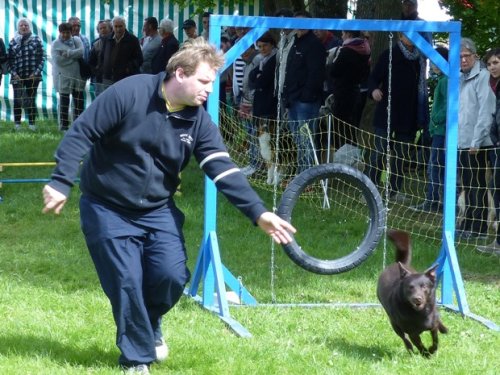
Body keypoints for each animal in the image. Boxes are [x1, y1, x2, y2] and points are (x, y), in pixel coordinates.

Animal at [376, 229, 450, 358]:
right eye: (410, 287)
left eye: (424, 286)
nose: (417, 299)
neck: (420, 313)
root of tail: (397, 263)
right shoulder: (412, 333)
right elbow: (419, 344)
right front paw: (426, 354)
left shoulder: (433, 326)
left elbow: (435, 340)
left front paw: (432, 350)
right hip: (394, 324)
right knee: (404, 339)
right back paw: (410, 351)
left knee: (437, 318)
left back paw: (444, 329)